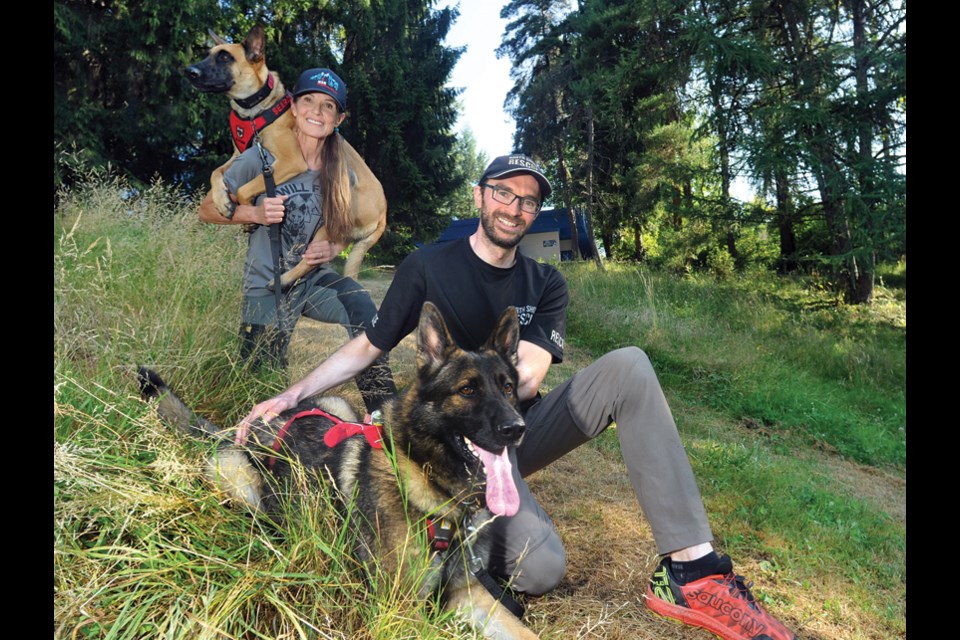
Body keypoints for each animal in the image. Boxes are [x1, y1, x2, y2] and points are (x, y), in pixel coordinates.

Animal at [186, 26, 384, 284]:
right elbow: (215, 172)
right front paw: (222, 201)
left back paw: (284, 279)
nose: (189, 72)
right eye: (209, 54)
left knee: (310, 260)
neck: (256, 109)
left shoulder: (291, 161)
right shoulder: (238, 154)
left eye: (225, 58)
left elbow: (244, 189)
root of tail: (384, 214)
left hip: (333, 217)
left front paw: (248, 217)